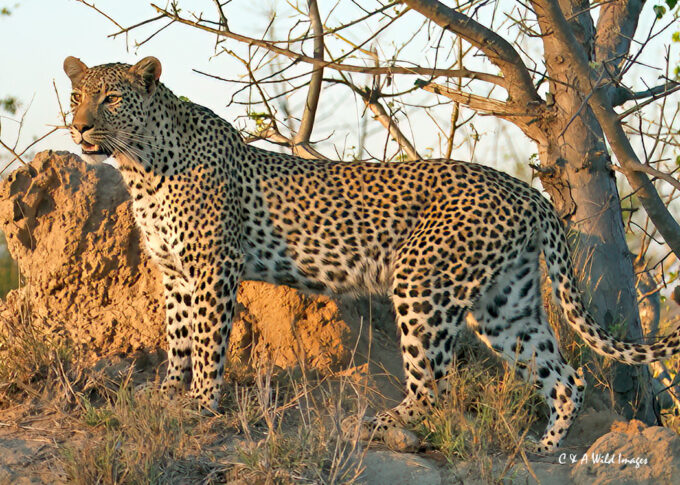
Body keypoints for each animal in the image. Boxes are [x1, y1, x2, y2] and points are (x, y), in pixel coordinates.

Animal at [63, 55, 680, 453]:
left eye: (111, 98)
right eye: (77, 96)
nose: (80, 126)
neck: (141, 166)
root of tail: (528, 191)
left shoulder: (213, 269)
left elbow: (208, 340)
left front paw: (199, 405)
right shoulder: (173, 273)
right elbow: (177, 336)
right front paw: (169, 394)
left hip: (423, 284)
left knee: (435, 387)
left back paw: (381, 426)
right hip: (505, 306)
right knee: (564, 376)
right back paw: (545, 449)